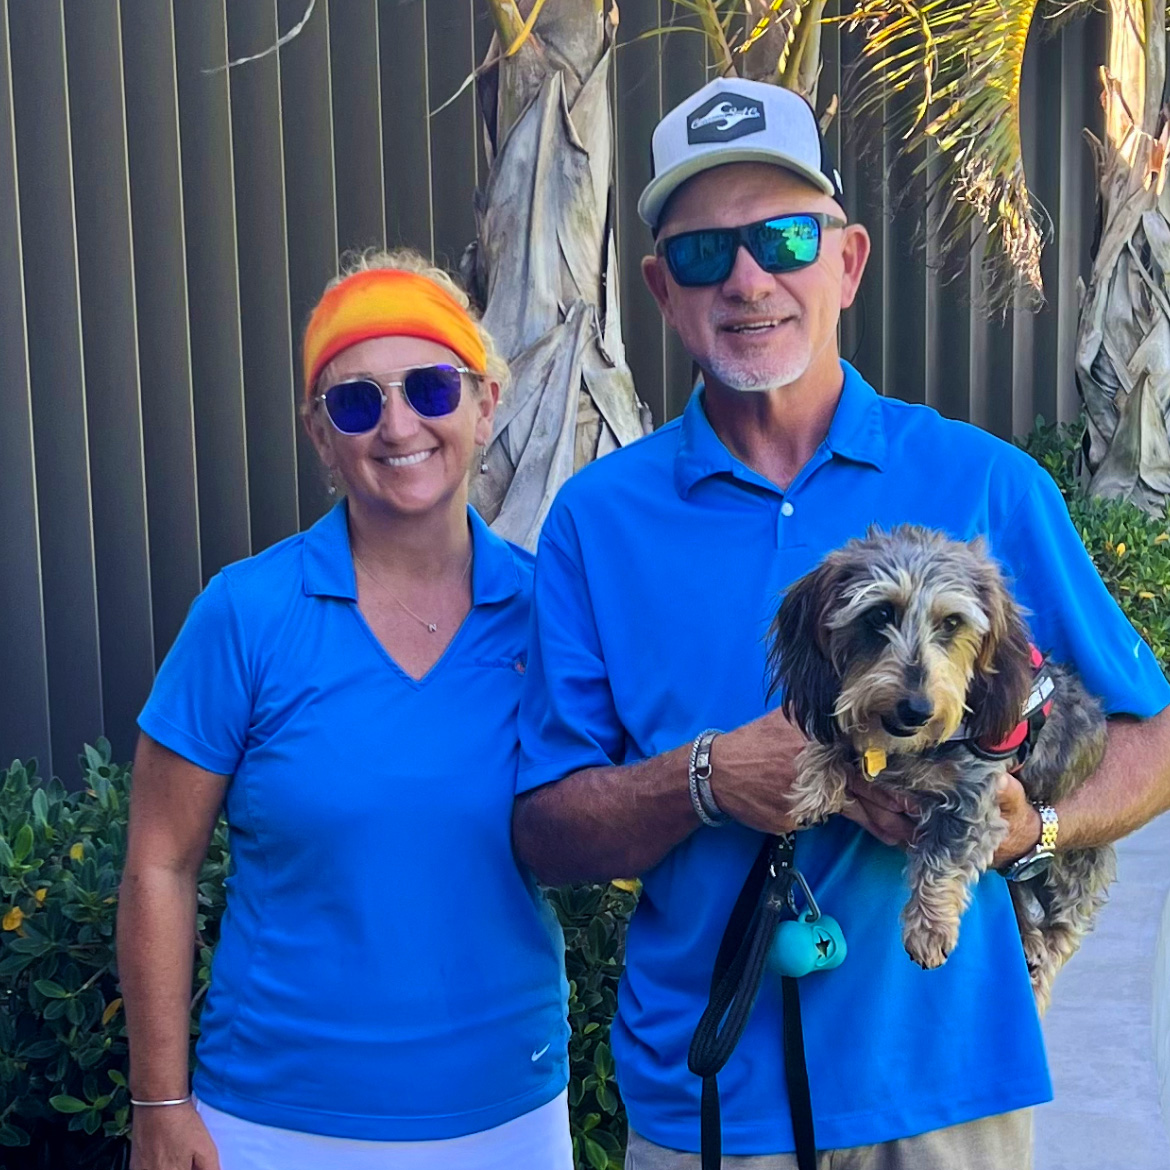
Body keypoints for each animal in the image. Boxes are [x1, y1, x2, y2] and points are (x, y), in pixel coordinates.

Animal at [767, 526, 1113, 1010]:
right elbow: (839, 737)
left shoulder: (977, 800)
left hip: (1071, 871)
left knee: (1060, 935)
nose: (916, 709)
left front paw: (929, 929)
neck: (910, 746)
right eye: (879, 614)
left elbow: (942, 858)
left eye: (952, 623)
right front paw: (817, 782)